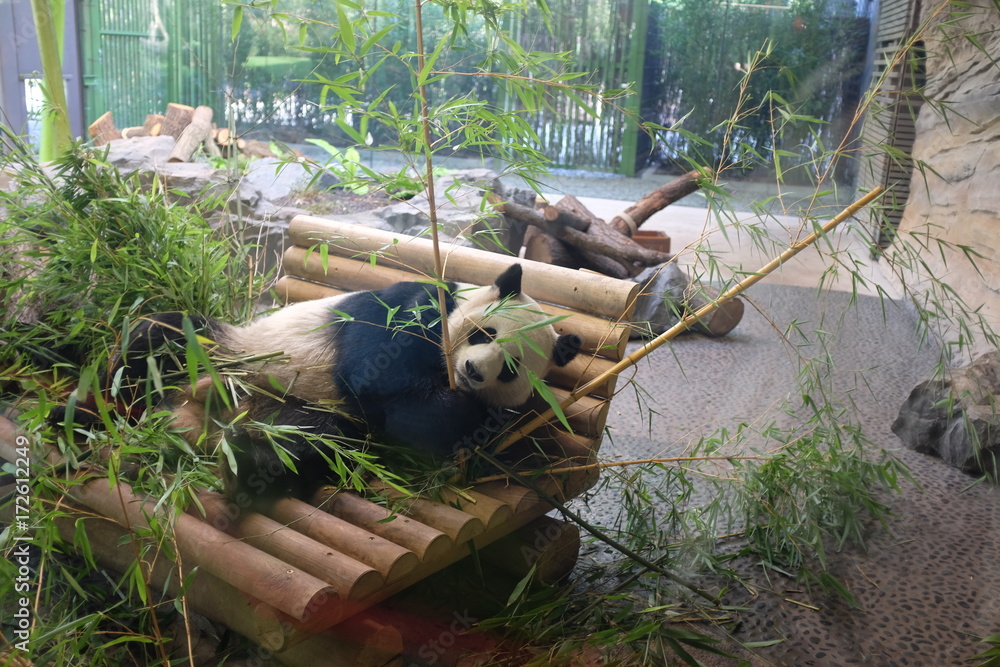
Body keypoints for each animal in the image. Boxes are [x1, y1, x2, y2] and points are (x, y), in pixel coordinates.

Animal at [58, 263, 582, 502]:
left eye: (510, 367)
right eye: (483, 334)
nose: (473, 371)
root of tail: (191, 415)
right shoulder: (409, 308)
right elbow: (377, 373)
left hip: (291, 408)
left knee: (312, 440)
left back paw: (246, 461)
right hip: (221, 350)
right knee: (154, 337)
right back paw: (78, 414)